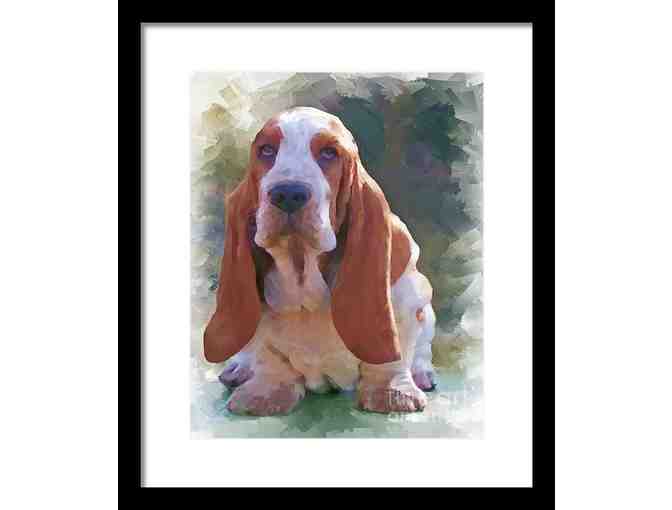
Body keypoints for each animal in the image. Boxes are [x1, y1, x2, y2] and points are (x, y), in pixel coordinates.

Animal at [204, 107, 436, 415]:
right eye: (266, 150)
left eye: (328, 153)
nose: (288, 193)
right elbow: (269, 353)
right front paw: (265, 392)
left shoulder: (406, 298)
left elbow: (394, 354)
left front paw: (392, 393)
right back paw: (240, 368)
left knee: (423, 347)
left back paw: (422, 373)